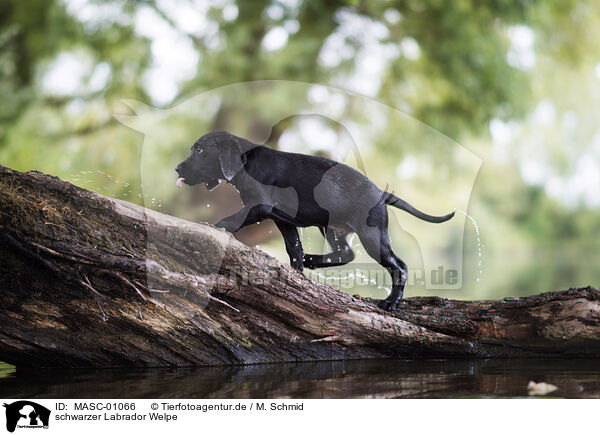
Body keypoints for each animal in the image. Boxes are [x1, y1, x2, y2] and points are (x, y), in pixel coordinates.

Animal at [175, 129, 454, 310]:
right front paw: (297, 270)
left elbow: (232, 219)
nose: (177, 168)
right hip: (332, 228)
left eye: (199, 150)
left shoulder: (259, 205)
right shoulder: (283, 220)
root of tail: (380, 193)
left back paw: (391, 303)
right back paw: (312, 261)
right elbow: (293, 247)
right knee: (346, 254)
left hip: (372, 236)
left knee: (399, 266)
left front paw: (214, 228)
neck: (246, 164)